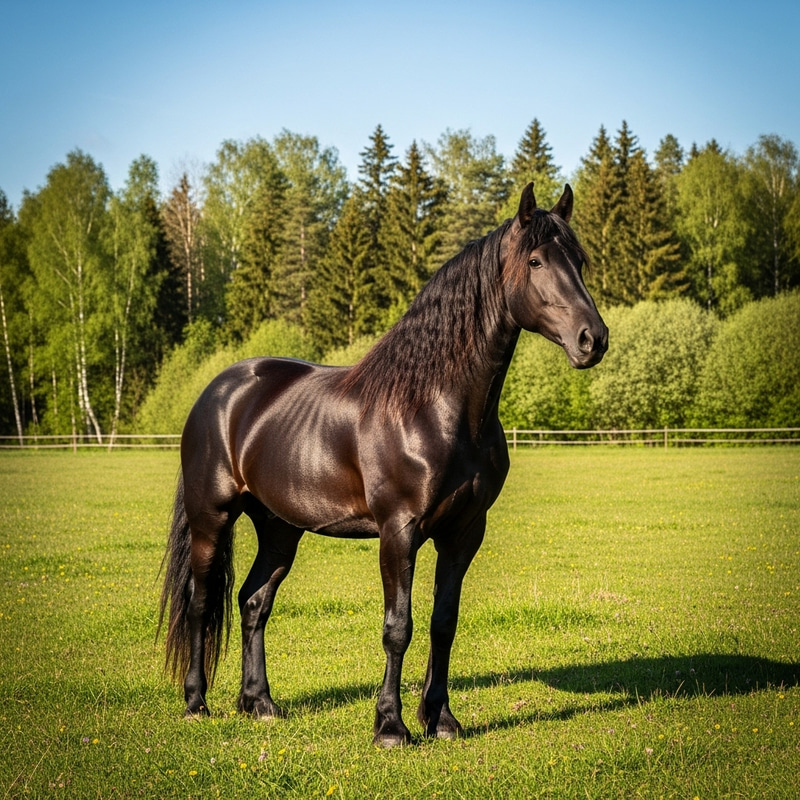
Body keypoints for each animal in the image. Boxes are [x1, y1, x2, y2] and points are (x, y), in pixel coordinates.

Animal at [159, 182, 608, 746]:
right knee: (201, 603)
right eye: (536, 260)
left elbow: (443, 622)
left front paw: (441, 719)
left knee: (253, 601)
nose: (593, 339)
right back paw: (196, 702)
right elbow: (399, 627)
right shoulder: (399, 530)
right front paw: (391, 726)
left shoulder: (464, 531)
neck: (435, 406)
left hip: (280, 528)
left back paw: (259, 703)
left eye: (580, 261)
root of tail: (217, 392)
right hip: (211, 519)